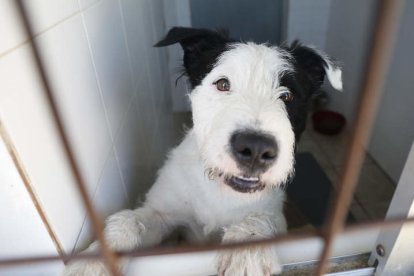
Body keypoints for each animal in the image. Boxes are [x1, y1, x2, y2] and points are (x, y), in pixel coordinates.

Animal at [64, 27, 342, 276]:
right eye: (222, 84)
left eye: (288, 96)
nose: (255, 148)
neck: (220, 188)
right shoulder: (162, 215)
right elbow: (129, 219)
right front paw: (94, 261)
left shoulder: (273, 215)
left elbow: (259, 219)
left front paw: (247, 251)